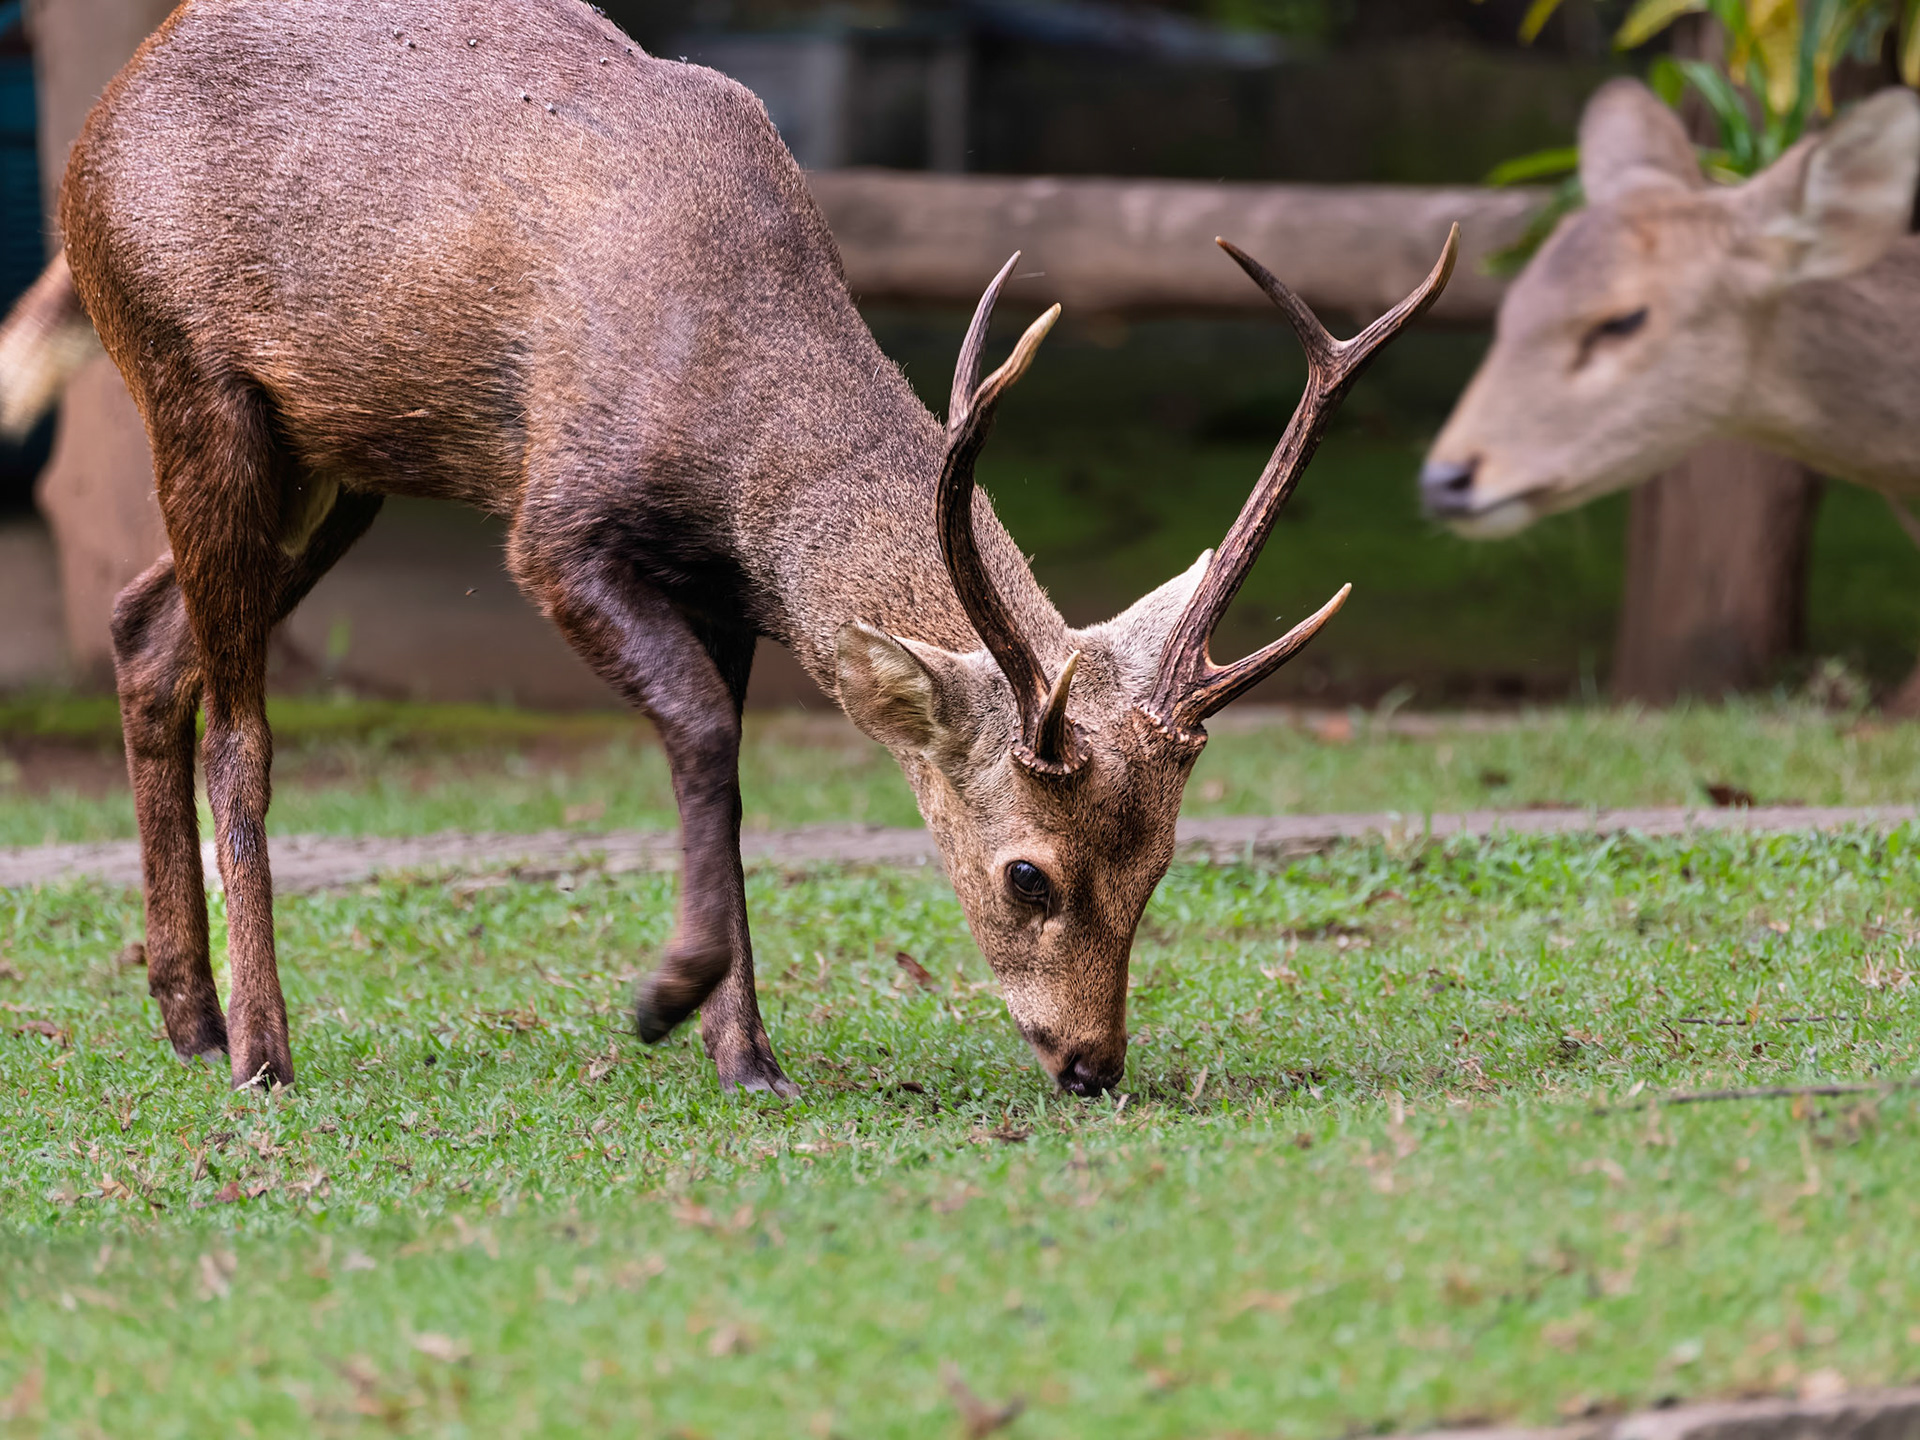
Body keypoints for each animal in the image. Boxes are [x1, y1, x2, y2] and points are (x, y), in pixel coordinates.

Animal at [1, 0, 1453, 1096]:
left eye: (1161, 862)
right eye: (1029, 872)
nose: (1093, 1061)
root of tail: (94, 134)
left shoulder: (721, 592)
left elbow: (734, 778)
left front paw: (748, 1054)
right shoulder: (556, 520)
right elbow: (699, 734)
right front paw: (666, 1000)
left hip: (337, 463)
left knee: (146, 634)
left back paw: (186, 1015)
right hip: (195, 379)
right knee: (241, 725)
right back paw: (261, 1047)